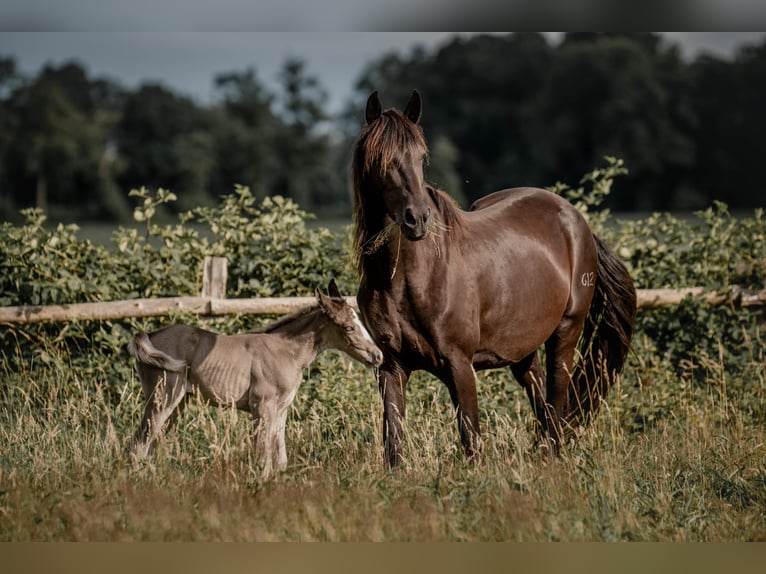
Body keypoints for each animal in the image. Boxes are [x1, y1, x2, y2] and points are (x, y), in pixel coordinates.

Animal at [130, 282, 390, 480]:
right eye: (348, 327)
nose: (378, 356)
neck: (286, 352)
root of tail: (148, 335)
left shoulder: (281, 409)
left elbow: (280, 458)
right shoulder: (262, 408)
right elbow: (262, 456)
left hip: (177, 403)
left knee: (150, 442)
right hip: (163, 397)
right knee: (138, 443)